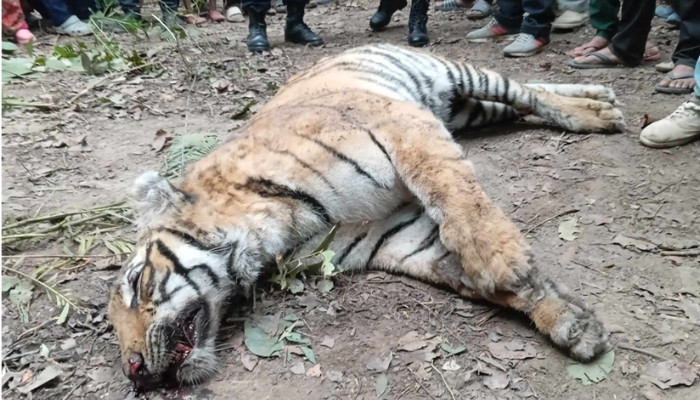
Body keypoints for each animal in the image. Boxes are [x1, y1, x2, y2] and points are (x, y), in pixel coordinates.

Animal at [109, 43, 624, 388]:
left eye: (135, 283)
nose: (134, 372)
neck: (276, 235)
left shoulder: (401, 123)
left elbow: (455, 192)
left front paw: (502, 259)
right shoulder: (392, 233)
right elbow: (475, 275)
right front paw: (572, 323)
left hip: (453, 74)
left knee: (527, 92)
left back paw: (600, 112)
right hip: (467, 109)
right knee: (520, 98)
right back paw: (603, 98)